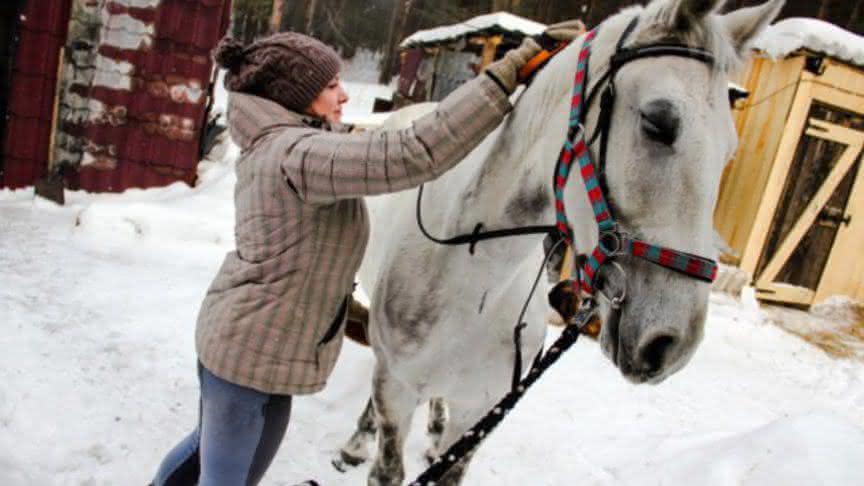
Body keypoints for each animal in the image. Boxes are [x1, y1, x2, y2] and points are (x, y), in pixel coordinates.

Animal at [340, 1, 788, 484]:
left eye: (729, 149)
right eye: (657, 122)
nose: (673, 343)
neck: (471, 273)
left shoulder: (478, 415)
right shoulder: (396, 391)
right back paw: (356, 441)